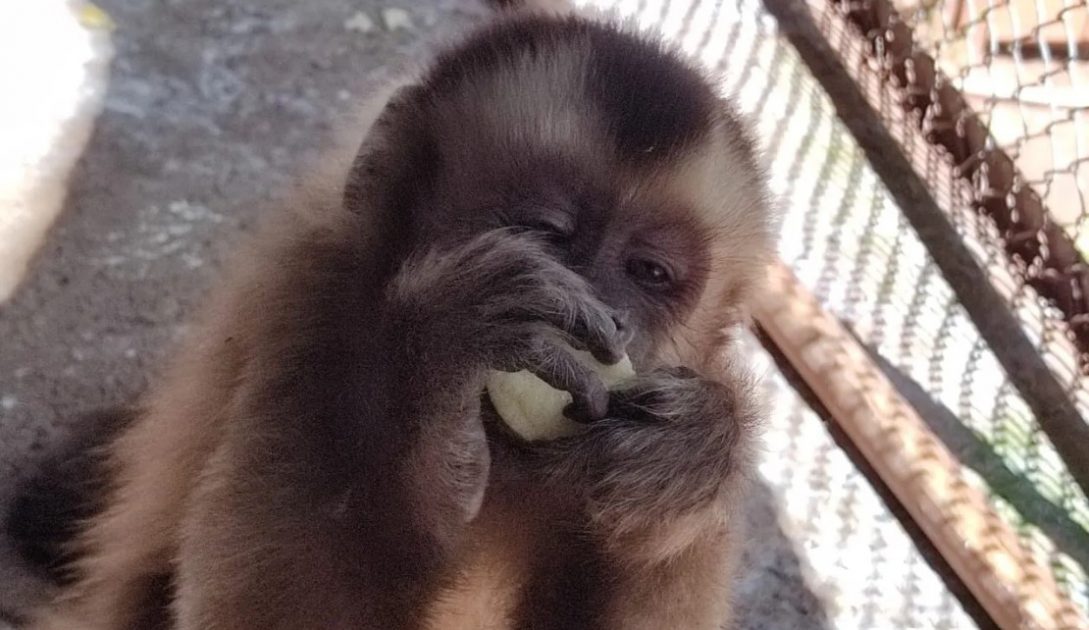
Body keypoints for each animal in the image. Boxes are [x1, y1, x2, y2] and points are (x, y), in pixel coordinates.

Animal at [6, 1, 774, 628]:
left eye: (649, 273)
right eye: (543, 229)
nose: (610, 319)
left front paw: (695, 448)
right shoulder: (312, 301)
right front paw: (435, 364)